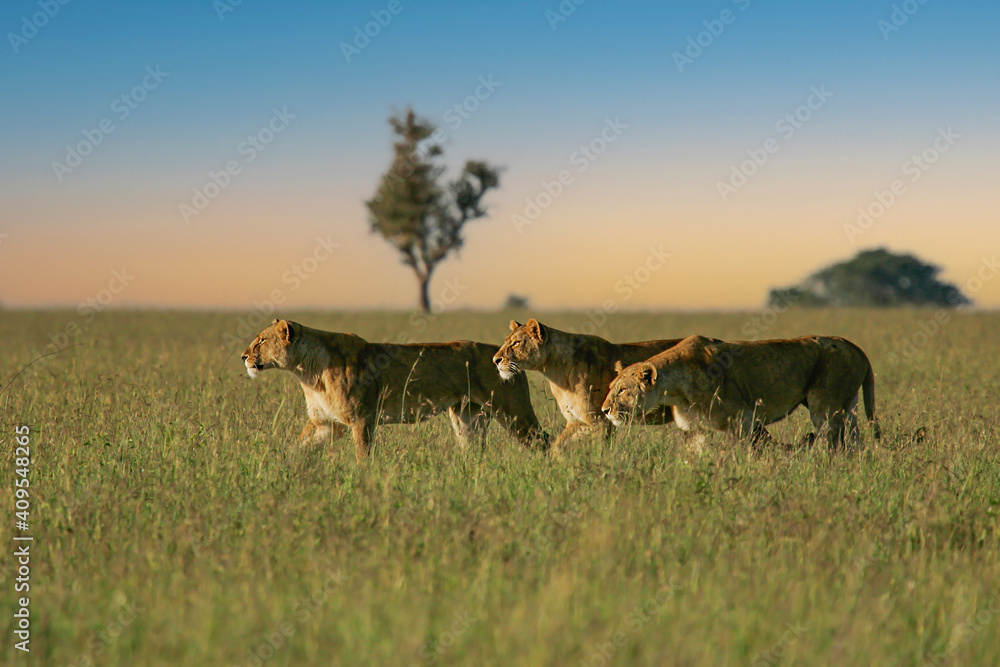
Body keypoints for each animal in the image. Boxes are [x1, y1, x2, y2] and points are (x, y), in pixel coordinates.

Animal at [242, 319, 548, 463]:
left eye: (261, 341)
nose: (243, 357)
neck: (308, 373)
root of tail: (502, 354)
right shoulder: (325, 423)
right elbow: (297, 448)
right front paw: (280, 468)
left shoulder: (362, 418)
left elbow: (363, 455)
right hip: (467, 416)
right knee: (473, 448)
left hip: (513, 411)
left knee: (543, 439)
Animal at [492, 319, 683, 449]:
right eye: (506, 341)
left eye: (516, 343)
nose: (495, 360)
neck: (555, 371)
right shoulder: (575, 420)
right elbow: (557, 447)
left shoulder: (601, 421)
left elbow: (600, 450)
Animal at [601, 334, 881, 449]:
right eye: (611, 389)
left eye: (622, 390)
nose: (604, 410)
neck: (675, 390)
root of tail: (857, 348)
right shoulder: (695, 429)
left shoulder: (742, 419)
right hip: (850, 403)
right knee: (853, 439)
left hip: (823, 404)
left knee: (832, 439)